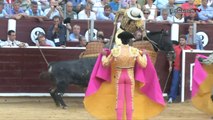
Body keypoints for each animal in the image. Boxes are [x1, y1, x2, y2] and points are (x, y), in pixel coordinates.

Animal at [39, 30, 175, 109]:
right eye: (167, 40)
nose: (173, 54)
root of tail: (52, 64)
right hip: (63, 84)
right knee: (57, 93)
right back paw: (64, 106)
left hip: (57, 83)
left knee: (52, 92)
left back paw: (58, 105)